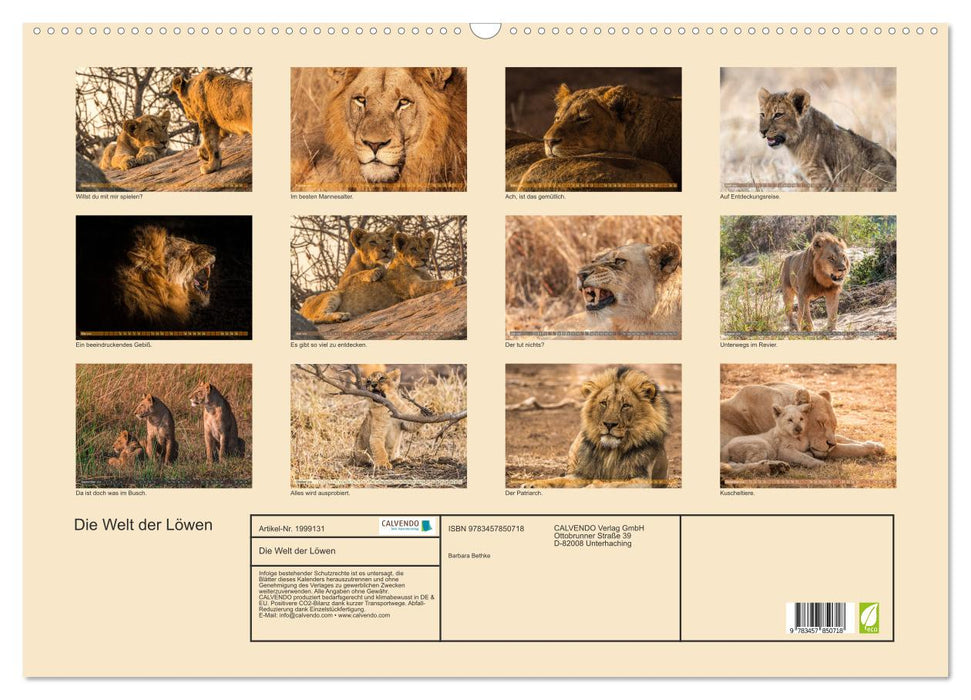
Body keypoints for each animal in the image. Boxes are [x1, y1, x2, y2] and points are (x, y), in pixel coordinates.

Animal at [523, 366, 671, 488]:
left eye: (625, 405)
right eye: (604, 403)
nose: (609, 424)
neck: (610, 452)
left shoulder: (641, 479)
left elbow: (610, 485)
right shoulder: (581, 475)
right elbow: (558, 480)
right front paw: (533, 484)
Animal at [720, 383, 886, 463]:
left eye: (834, 426)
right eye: (820, 423)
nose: (830, 444)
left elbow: (843, 438)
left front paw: (876, 444)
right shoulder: (819, 450)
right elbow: (849, 448)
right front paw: (871, 449)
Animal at [758, 87, 896, 192]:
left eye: (778, 115)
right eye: (762, 114)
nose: (762, 131)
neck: (794, 146)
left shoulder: (821, 177)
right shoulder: (803, 181)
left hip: (872, 175)